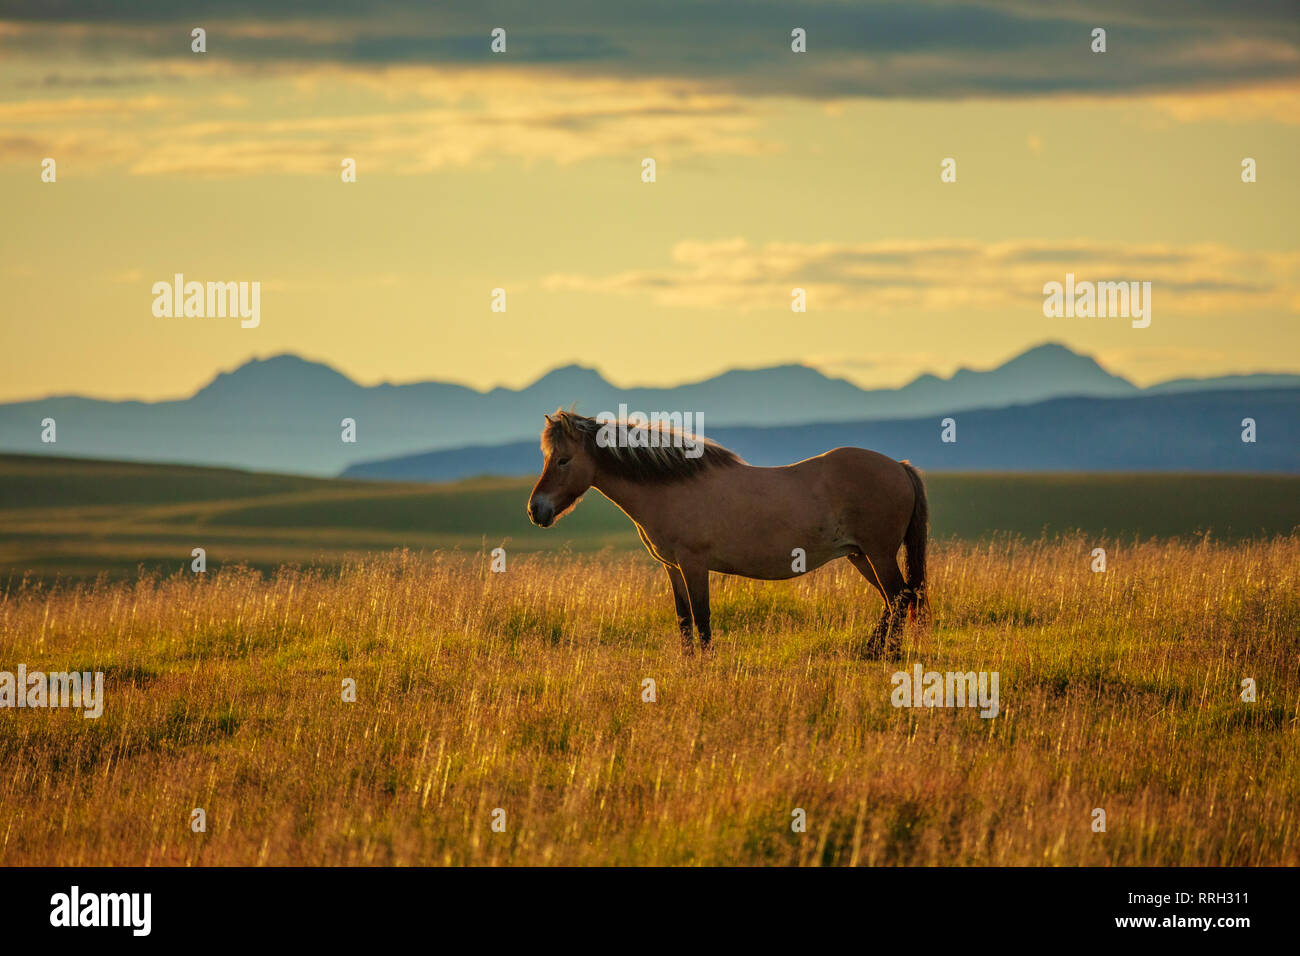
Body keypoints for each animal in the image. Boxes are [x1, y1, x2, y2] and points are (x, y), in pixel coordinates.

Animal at [522, 411, 930, 658]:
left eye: (563, 460)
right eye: (547, 458)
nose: (535, 510)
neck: (671, 487)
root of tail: (899, 467)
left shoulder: (694, 565)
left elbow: (702, 619)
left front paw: (706, 665)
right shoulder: (673, 568)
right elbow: (684, 619)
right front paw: (688, 664)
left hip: (878, 554)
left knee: (899, 598)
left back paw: (885, 653)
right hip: (860, 555)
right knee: (896, 600)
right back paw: (874, 652)